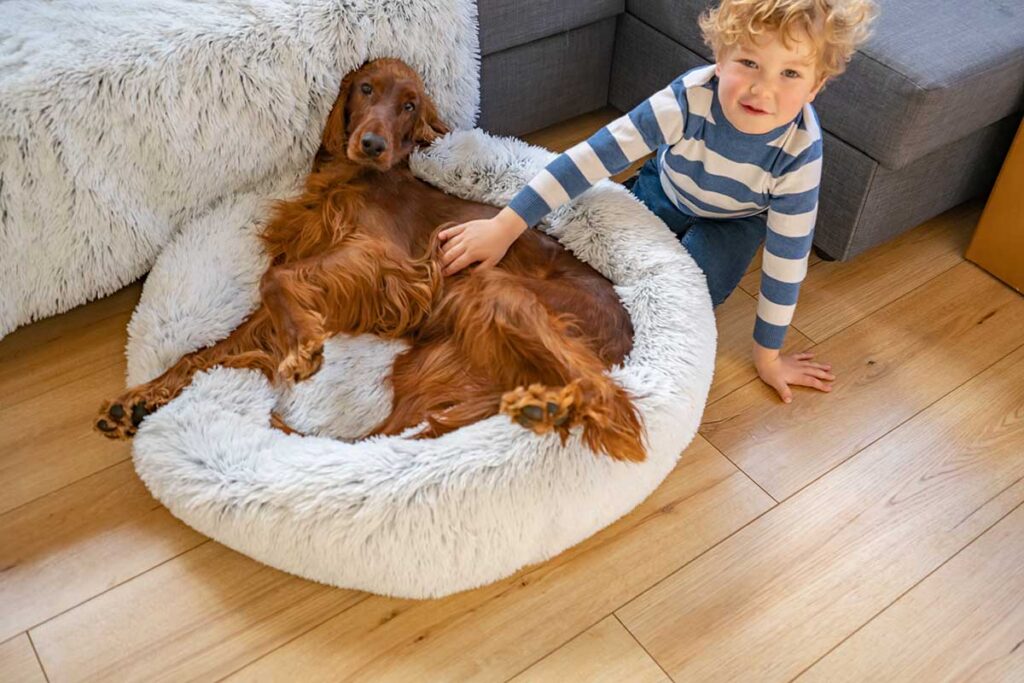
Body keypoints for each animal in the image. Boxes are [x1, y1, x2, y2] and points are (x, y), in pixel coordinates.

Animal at [94, 58, 638, 462]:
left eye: (409, 105)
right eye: (367, 88)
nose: (373, 144)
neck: (351, 178)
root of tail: (624, 333)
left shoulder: (380, 259)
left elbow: (277, 278)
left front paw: (304, 348)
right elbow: (211, 348)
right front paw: (137, 399)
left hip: (496, 291)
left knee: (613, 401)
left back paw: (556, 409)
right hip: (432, 359)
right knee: (386, 432)